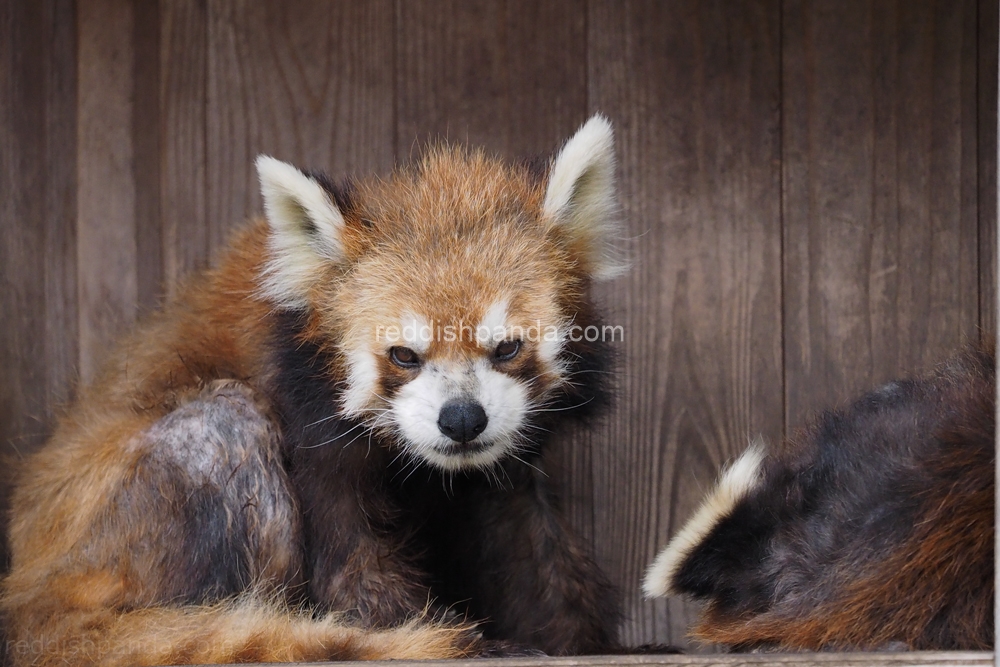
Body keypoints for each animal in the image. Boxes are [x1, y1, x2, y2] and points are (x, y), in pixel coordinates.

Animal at [3, 117, 624, 664]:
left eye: (507, 348)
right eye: (405, 355)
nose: (462, 419)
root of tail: (31, 591)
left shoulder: (502, 475)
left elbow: (527, 544)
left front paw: (574, 636)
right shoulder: (309, 423)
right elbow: (348, 559)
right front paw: (417, 630)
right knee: (225, 427)